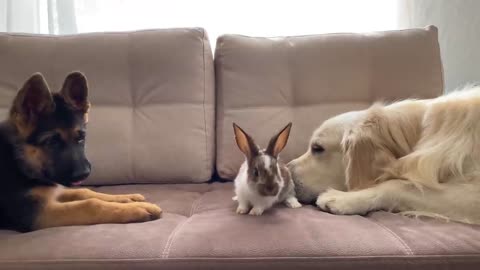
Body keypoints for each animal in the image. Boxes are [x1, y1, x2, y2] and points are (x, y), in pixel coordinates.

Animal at [0, 72, 162, 232]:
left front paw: (127, 198)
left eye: (81, 138)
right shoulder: (35, 213)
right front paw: (135, 208)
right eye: (52, 142)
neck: (18, 160)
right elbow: (90, 204)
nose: (84, 174)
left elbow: (84, 192)